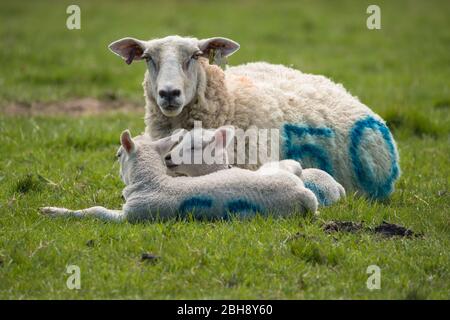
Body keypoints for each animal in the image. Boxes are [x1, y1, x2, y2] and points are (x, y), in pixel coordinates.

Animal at [40, 129, 318, 221]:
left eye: (118, 155)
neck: (152, 181)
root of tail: (301, 193)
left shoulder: (133, 216)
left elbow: (96, 211)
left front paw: (53, 211)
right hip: (276, 170)